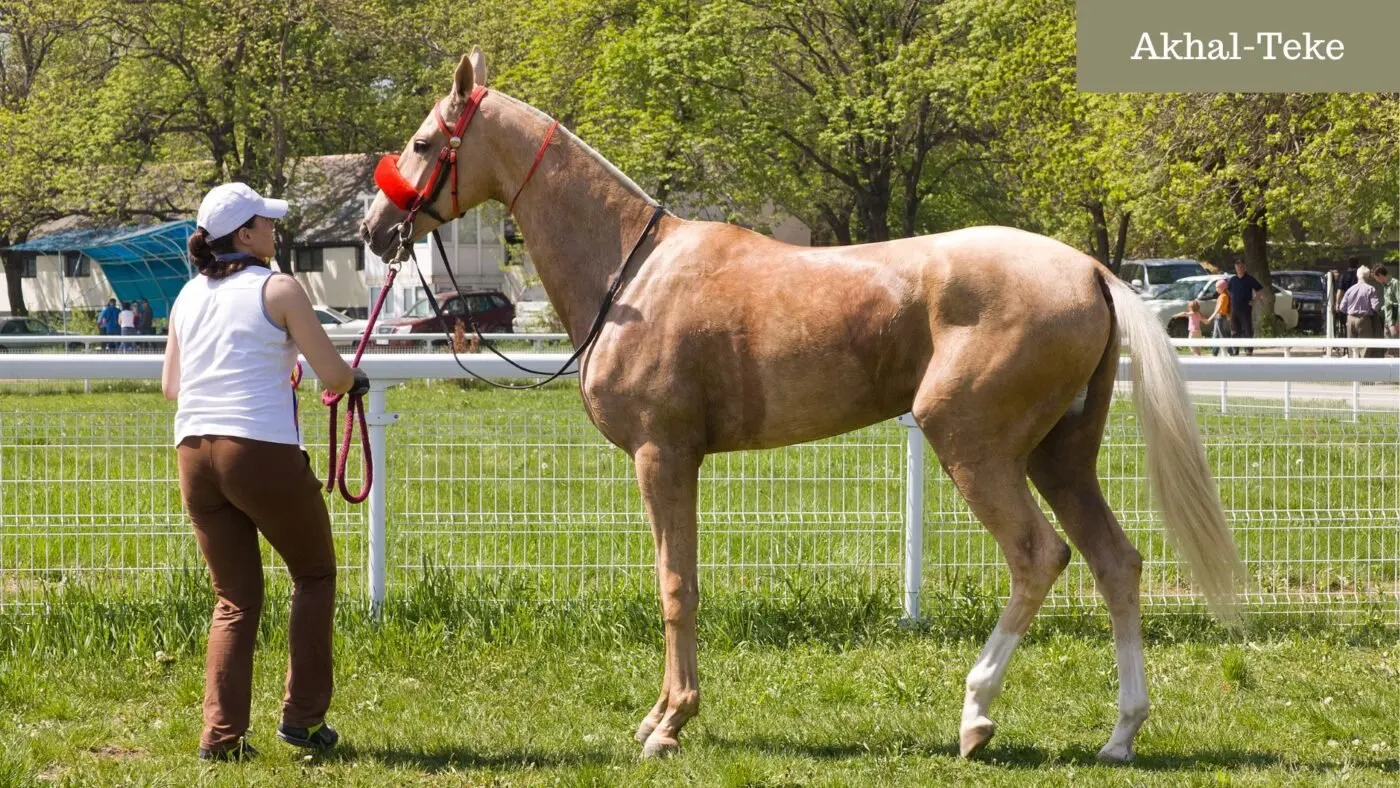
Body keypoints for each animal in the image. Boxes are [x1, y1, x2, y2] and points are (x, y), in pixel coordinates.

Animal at [360, 48, 1245, 763]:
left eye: (425, 142)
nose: (374, 227)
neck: (634, 273)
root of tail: (1090, 269)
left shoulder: (662, 456)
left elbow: (674, 587)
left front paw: (668, 725)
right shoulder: (680, 463)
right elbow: (681, 578)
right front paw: (664, 715)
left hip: (974, 447)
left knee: (1039, 557)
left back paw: (975, 715)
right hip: (1061, 457)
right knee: (1115, 562)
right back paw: (1121, 733)